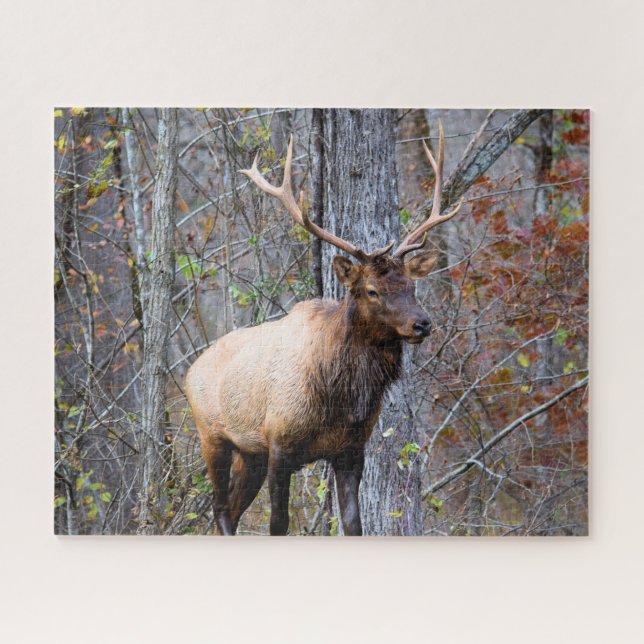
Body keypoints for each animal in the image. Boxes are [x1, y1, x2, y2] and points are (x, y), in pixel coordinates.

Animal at [185, 124, 462, 535]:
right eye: (372, 290)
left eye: (412, 285)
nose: (422, 323)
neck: (340, 397)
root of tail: (189, 371)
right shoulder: (279, 444)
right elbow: (279, 523)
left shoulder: (350, 450)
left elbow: (353, 523)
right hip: (213, 436)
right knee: (220, 508)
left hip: (248, 454)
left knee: (231, 510)